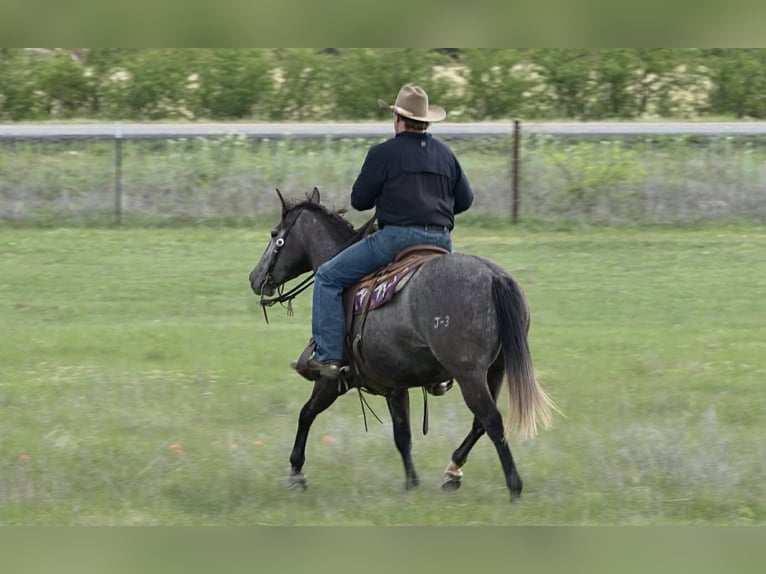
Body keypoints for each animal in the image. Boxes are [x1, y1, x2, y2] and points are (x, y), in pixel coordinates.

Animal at [248, 187, 557, 501]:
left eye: (275, 234)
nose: (254, 278)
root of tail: (494, 276)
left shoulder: (333, 379)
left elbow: (306, 413)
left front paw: (296, 472)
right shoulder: (395, 383)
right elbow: (403, 434)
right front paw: (411, 482)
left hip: (469, 374)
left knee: (491, 420)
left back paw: (514, 486)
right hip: (496, 370)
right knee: (480, 423)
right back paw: (452, 471)